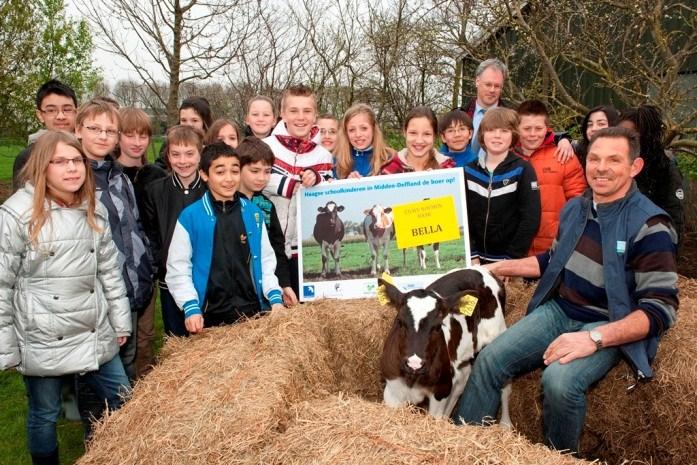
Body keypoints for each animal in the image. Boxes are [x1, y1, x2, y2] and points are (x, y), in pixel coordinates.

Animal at [378, 264, 508, 420]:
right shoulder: (392, 390)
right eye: (400, 321)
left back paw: (506, 423)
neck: (413, 379)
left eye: (437, 326)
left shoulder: (441, 390)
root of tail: (482, 269)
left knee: (506, 385)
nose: (415, 363)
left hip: (499, 332)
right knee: (462, 378)